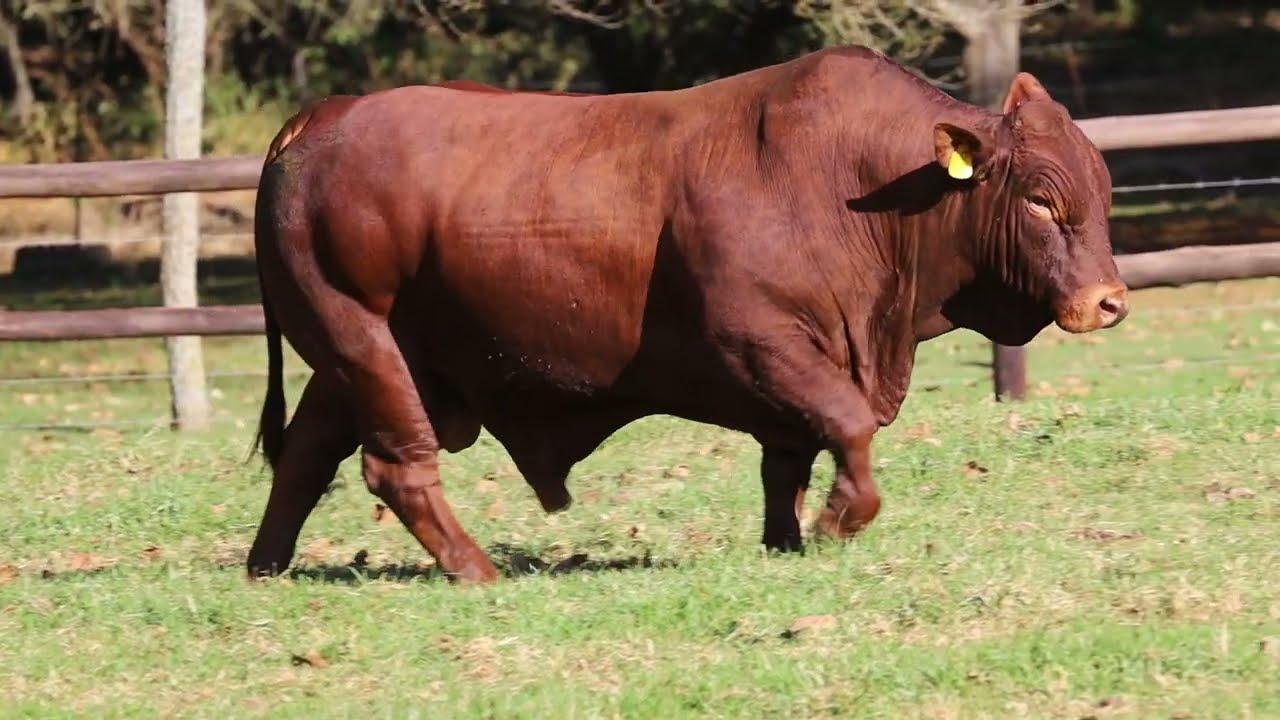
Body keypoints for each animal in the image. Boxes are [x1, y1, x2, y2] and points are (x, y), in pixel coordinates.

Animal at [247, 46, 1127, 583]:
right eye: (1042, 200)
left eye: (1102, 190)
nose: (1108, 301)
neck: (854, 182)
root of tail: (321, 118)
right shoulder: (760, 341)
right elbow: (846, 426)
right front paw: (840, 519)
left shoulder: (798, 371)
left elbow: (788, 459)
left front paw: (786, 541)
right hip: (364, 341)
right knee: (395, 466)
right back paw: (475, 569)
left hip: (362, 358)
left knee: (307, 454)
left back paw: (266, 565)